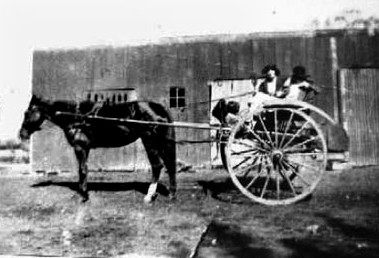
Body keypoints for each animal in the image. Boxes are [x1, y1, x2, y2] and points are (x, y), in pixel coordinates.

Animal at [18, 94, 177, 204]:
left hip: (149, 141)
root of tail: (159, 108)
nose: (22, 134)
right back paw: (171, 194)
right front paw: (83, 193)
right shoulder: (85, 148)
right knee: (169, 164)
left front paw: (82, 196)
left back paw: (149, 196)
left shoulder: (80, 147)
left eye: (27, 113)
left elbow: (82, 170)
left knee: (157, 165)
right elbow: (84, 169)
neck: (76, 116)